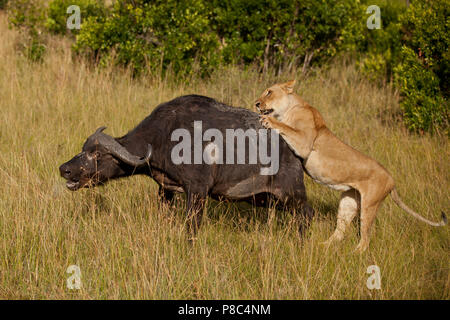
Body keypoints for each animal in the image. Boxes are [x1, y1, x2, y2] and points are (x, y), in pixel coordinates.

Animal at [59, 94, 312, 238]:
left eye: (96, 154)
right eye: (83, 148)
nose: (64, 169)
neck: (164, 137)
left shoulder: (197, 191)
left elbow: (192, 227)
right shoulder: (165, 190)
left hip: (293, 194)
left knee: (305, 216)